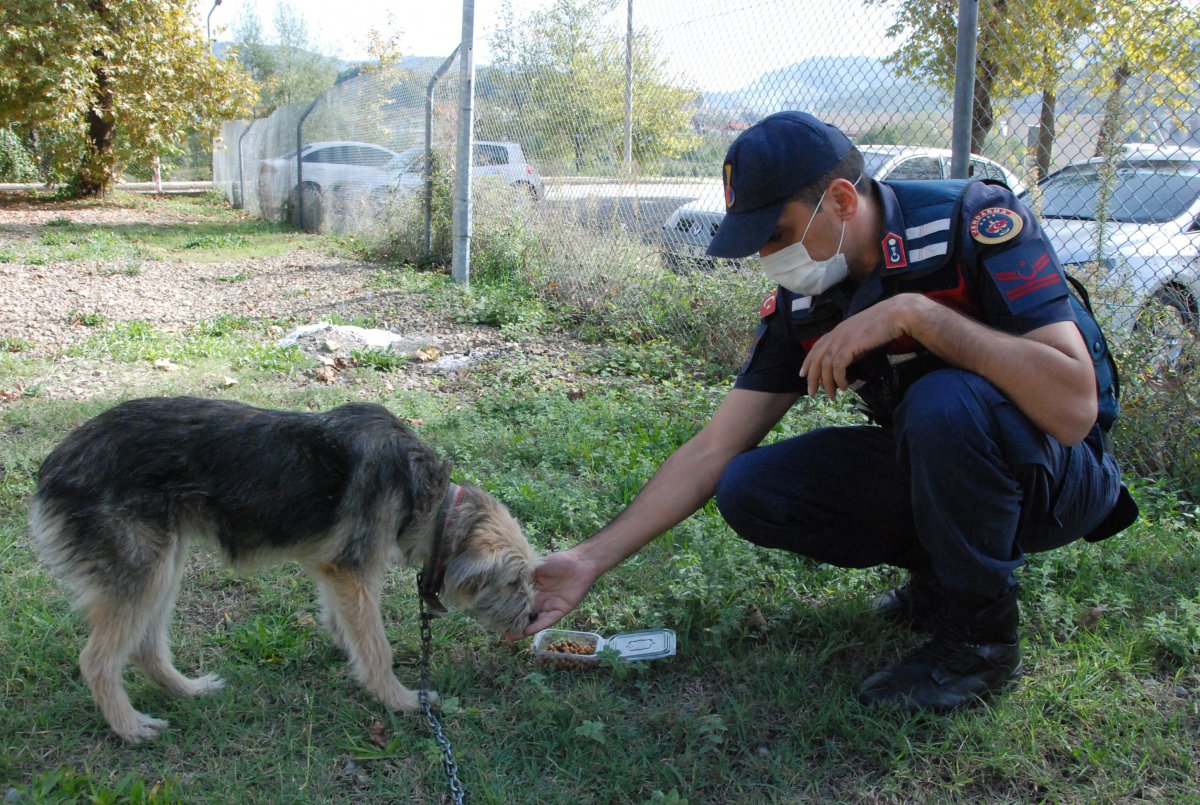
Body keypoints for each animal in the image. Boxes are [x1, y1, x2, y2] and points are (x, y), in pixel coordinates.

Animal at [29, 395, 540, 743]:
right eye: (514, 581)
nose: (535, 616)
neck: (430, 501)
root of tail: (55, 465)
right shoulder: (352, 570)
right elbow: (378, 647)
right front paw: (399, 699)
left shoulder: (333, 571)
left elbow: (347, 622)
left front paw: (346, 648)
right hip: (142, 572)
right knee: (97, 661)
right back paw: (129, 726)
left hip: (162, 567)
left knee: (145, 646)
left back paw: (187, 691)